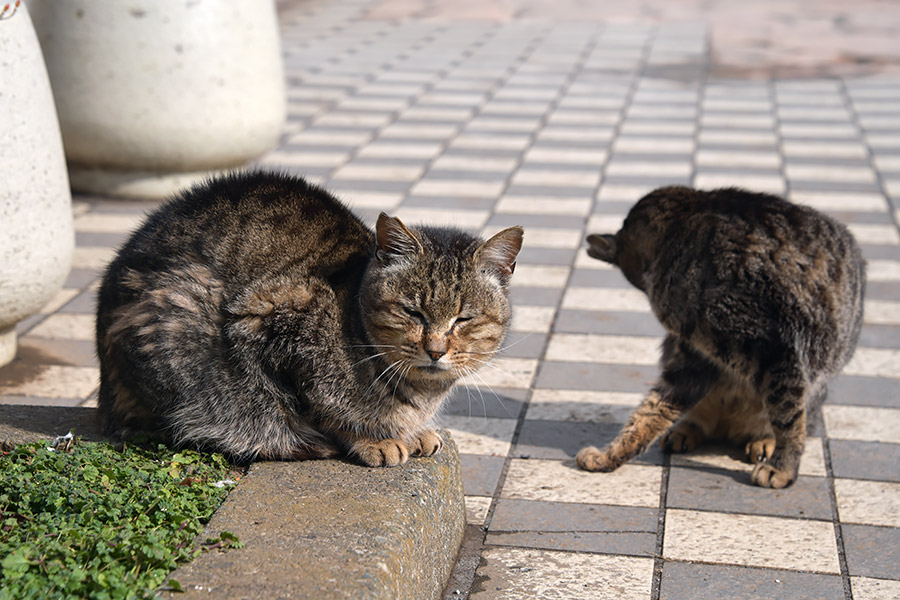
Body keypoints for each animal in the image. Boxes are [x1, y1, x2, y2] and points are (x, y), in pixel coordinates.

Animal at [96, 171, 524, 466]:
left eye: (463, 319)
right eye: (411, 311)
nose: (435, 350)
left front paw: (413, 431)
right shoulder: (265, 319)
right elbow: (316, 407)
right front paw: (372, 439)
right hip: (179, 324)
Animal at [576, 186, 864, 488]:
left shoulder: (774, 348)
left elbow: (789, 420)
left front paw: (783, 468)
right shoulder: (696, 354)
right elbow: (650, 412)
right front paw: (609, 456)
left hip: (810, 381)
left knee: (789, 415)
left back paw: (765, 441)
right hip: (677, 349)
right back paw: (685, 430)